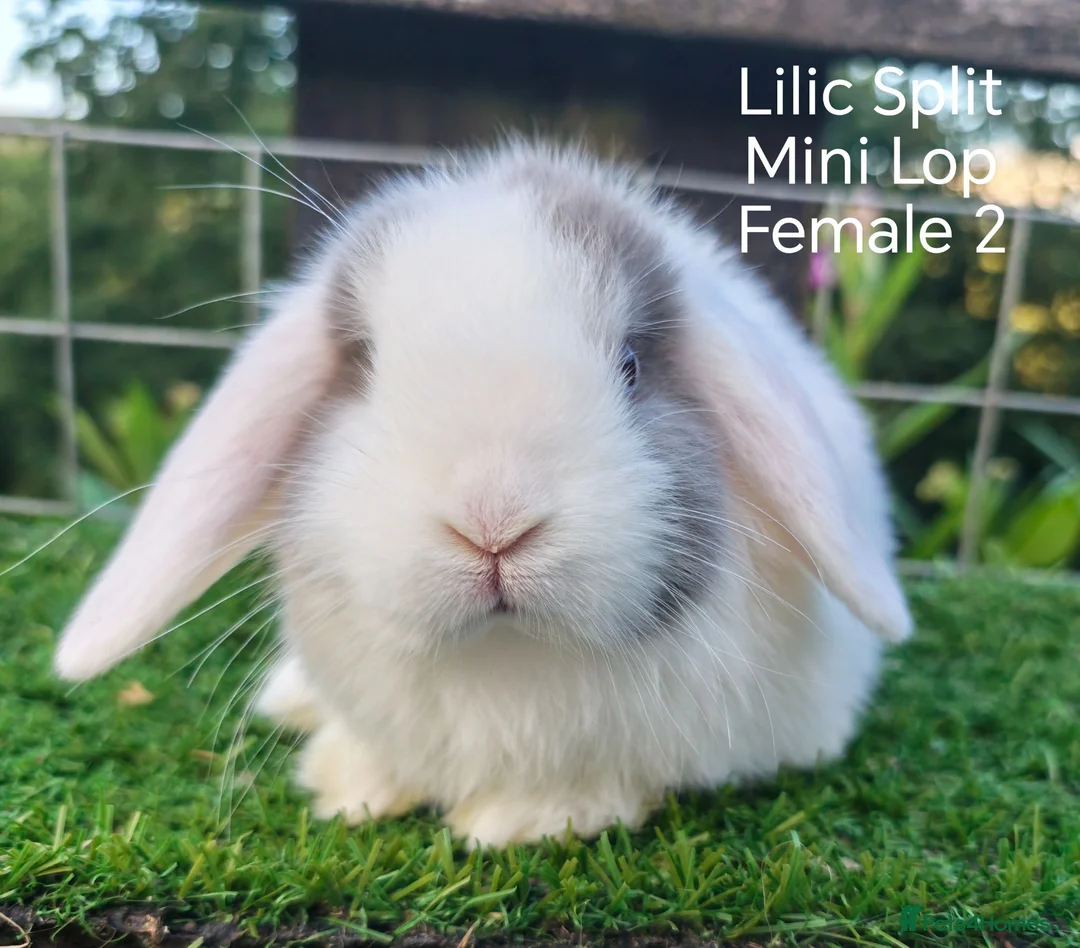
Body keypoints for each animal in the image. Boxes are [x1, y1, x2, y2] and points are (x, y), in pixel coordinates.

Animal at [53, 138, 912, 848]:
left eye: (631, 365)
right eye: (364, 364)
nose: (493, 523)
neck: (507, 661)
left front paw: (519, 823)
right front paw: (349, 789)